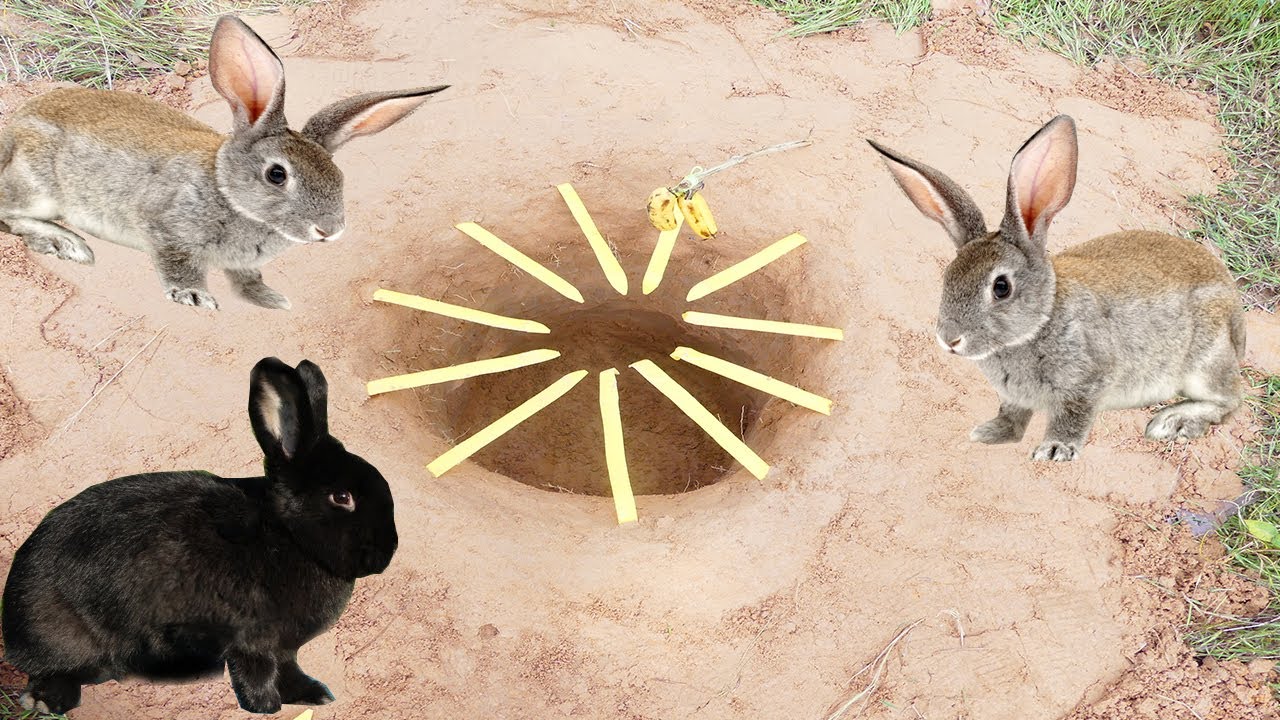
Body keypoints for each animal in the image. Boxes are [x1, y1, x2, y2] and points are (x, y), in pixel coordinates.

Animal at [0, 15, 448, 310]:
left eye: (339, 177)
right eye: (276, 175)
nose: (330, 231)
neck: (228, 194)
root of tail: (14, 125)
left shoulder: (242, 264)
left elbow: (248, 280)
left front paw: (270, 299)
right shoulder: (164, 226)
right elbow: (177, 264)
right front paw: (194, 297)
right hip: (39, 186)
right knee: (9, 215)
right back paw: (67, 244)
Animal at [1, 357, 397, 714]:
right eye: (342, 497)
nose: (387, 551)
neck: (288, 536)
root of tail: (12, 619)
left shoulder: (286, 648)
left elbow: (290, 670)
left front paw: (315, 695)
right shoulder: (252, 639)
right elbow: (258, 672)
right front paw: (266, 707)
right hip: (68, 636)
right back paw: (49, 700)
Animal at [868, 115, 1245, 461]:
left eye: (1001, 287)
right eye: (947, 276)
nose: (949, 339)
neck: (1041, 321)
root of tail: (1235, 310)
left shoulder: (1087, 382)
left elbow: (1072, 418)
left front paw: (1054, 451)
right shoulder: (1014, 396)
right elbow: (1013, 415)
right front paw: (991, 433)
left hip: (1204, 362)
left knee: (1228, 402)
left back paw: (1171, 422)